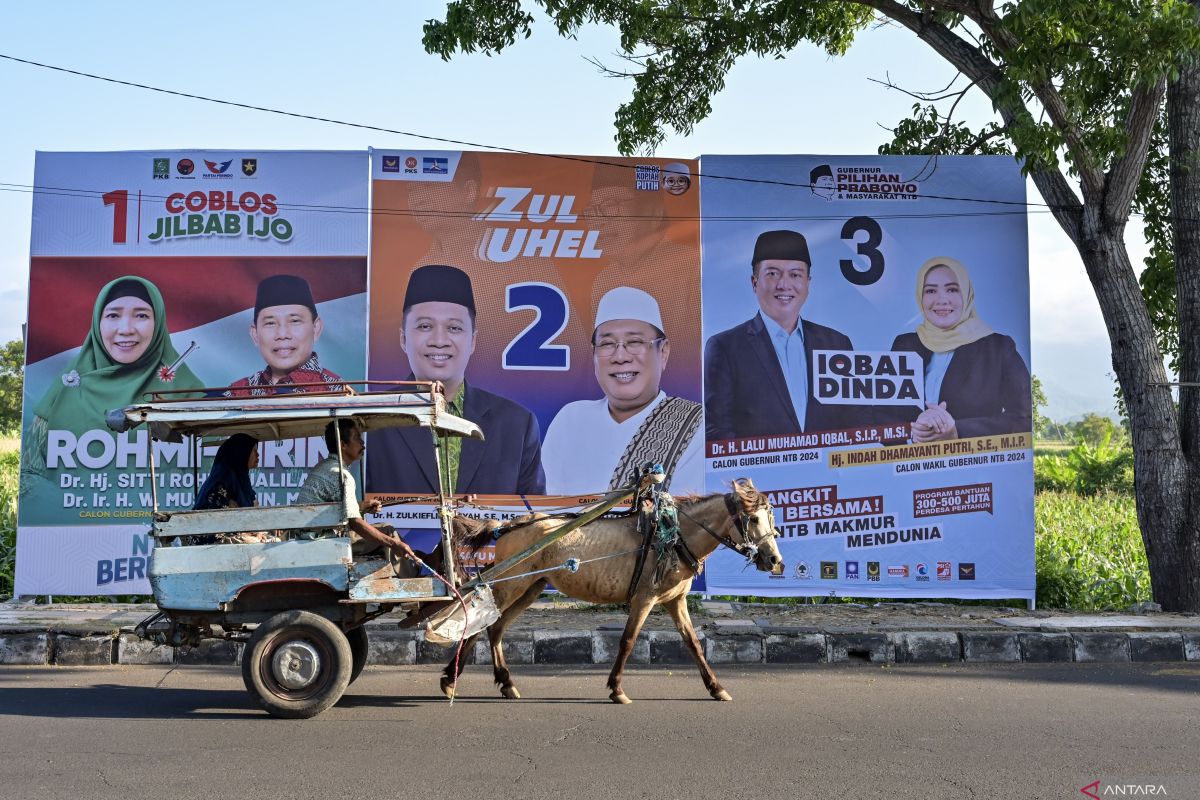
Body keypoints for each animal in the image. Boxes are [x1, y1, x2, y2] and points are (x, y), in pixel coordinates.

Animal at [446, 479, 782, 705]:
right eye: (753, 518)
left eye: (772, 519)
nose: (774, 560)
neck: (674, 536)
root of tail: (507, 525)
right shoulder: (645, 598)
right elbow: (628, 641)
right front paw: (617, 689)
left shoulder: (675, 601)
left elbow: (694, 644)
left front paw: (716, 687)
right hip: (509, 583)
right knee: (481, 626)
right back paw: (449, 679)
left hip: (531, 586)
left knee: (497, 628)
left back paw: (505, 683)